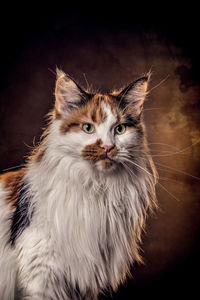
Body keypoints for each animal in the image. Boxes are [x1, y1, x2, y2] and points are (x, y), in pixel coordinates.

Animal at [0, 68, 158, 300]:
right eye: (87, 128)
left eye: (120, 129)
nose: (108, 147)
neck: (97, 188)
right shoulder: (41, 274)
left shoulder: (83, 281)